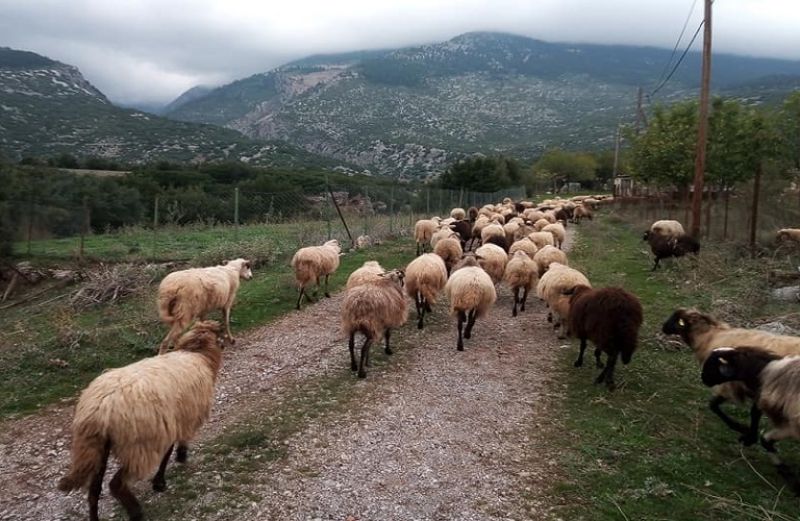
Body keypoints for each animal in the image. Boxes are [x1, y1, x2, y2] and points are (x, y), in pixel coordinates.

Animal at [58, 320, 228, 520]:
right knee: (116, 484)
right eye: (219, 335)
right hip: (139, 446)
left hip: (98, 448)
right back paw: (136, 512)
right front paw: (170, 469)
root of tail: (98, 411)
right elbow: (171, 449)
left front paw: (162, 478)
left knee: (94, 492)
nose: (226, 343)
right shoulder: (179, 419)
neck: (198, 355)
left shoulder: (172, 421)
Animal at [660, 308, 800, 442]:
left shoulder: (731, 385)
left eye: (676, 318)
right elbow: (754, 413)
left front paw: (742, 430)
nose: (663, 327)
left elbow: (714, 405)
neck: (709, 337)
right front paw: (750, 436)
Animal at [704, 348, 800, 494]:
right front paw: (747, 435)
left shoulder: (792, 423)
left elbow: (765, 439)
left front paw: (788, 475)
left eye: (712, 364)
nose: (703, 378)